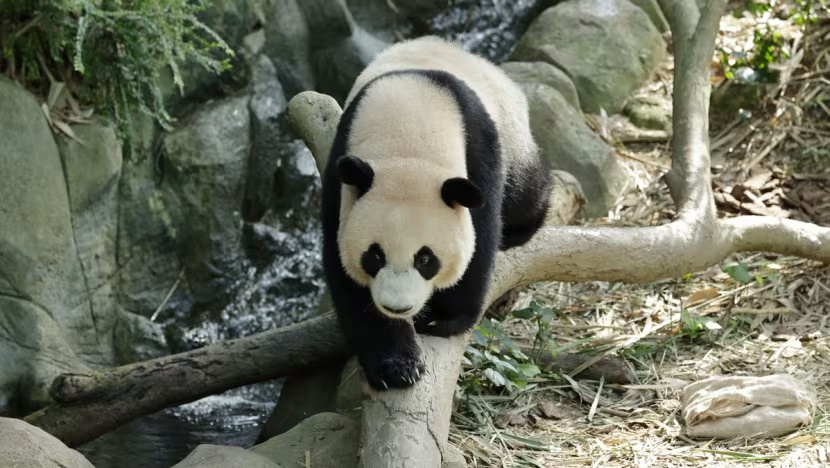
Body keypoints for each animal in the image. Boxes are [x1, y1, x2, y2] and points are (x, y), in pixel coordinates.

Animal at [321, 36, 552, 391]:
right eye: (374, 256)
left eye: (426, 259)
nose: (397, 306)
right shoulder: (343, 173)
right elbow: (343, 270)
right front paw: (395, 364)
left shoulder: (478, 148)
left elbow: (480, 239)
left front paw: (442, 318)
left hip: (511, 133)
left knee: (524, 191)